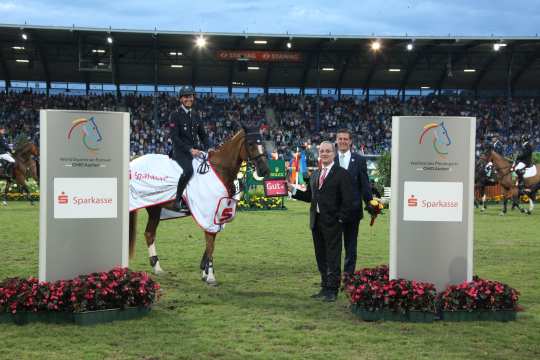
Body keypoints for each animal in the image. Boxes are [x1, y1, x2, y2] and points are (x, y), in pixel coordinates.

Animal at [127, 125, 270, 286]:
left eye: (262, 142)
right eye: (250, 144)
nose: (264, 170)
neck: (220, 170)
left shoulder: (218, 215)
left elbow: (210, 244)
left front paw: (204, 271)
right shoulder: (208, 213)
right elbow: (210, 244)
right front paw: (211, 276)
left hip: (155, 207)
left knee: (149, 233)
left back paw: (157, 268)